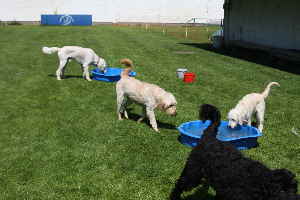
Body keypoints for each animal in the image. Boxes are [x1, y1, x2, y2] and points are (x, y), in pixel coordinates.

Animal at [170, 104, 298, 199]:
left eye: (295, 190)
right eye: (282, 191)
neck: (260, 182)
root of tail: (210, 137)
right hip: (193, 172)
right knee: (180, 184)